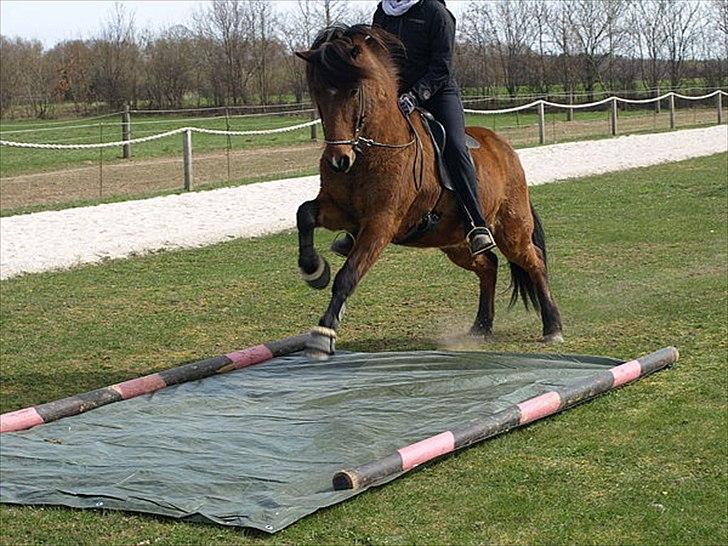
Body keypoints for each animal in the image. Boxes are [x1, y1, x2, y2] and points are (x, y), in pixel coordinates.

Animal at [296, 25, 564, 356]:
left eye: (354, 91)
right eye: (318, 92)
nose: (338, 161)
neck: (371, 150)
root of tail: (505, 149)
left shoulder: (380, 224)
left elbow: (348, 276)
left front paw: (324, 333)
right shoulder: (340, 211)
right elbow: (304, 214)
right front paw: (313, 269)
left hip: (510, 231)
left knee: (534, 261)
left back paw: (552, 327)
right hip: (454, 243)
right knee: (488, 265)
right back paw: (481, 327)